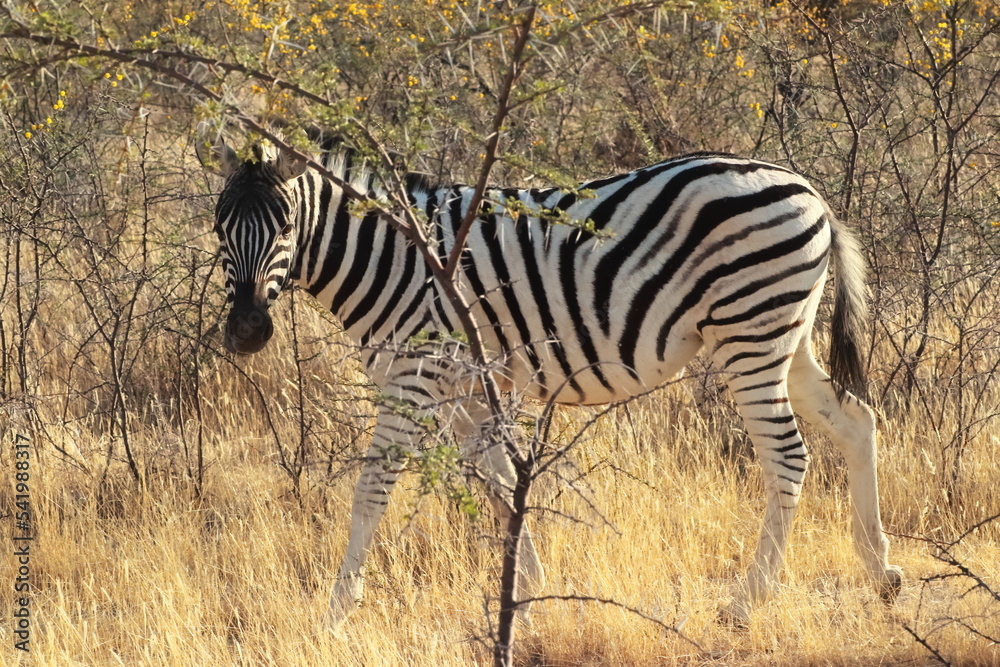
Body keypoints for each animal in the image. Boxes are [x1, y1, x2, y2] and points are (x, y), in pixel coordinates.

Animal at [202, 137, 902, 628]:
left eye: (285, 226)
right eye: (218, 228)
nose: (246, 331)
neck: (391, 259)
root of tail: (808, 189)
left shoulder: (416, 376)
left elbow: (372, 490)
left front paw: (337, 611)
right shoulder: (464, 391)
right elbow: (499, 484)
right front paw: (525, 592)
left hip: (749, 332)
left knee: (787, 456)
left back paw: (747, 601)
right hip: (787, 334)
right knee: (856, 421)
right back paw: (881, 569)